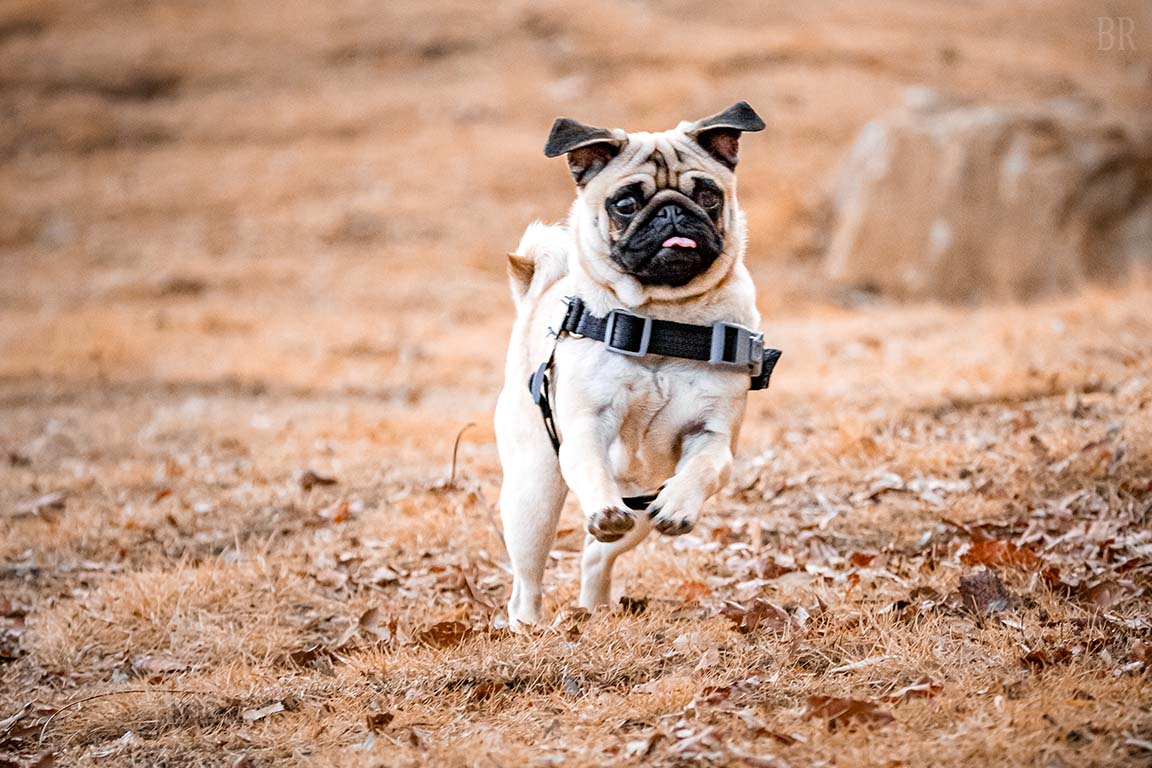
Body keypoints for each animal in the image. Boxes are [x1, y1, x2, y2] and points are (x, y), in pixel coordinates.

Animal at [495, 101, 774, 630]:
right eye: (625, 204)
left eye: (707, 195)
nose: (671, 210)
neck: (663, 319)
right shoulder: (586, 424)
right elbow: (590, 465)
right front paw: (603, 506)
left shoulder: (714, 437)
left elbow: (701, 469)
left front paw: (681, 506)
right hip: (534, 492)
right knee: (527, 583)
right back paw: (528, 627)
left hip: (639, 510)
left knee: (595, 556)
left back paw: (597, 607)